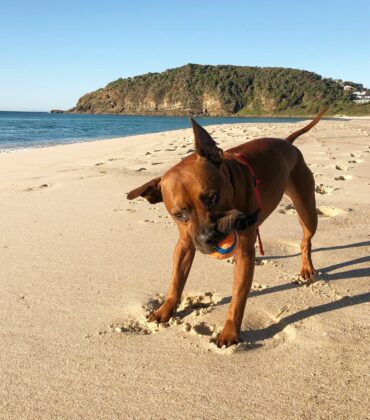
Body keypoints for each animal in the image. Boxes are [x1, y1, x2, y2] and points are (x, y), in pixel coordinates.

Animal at [128, 109, 326, 348]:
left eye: (212, 197)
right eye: (179, 214)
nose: (209, 238)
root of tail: (288, 143)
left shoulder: (243, 251)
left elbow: (238, 296)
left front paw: (230, 331)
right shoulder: (185, 244)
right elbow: (176, 280)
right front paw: (165, 309)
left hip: (307, 210)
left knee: (306, 239)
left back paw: (306, 267)